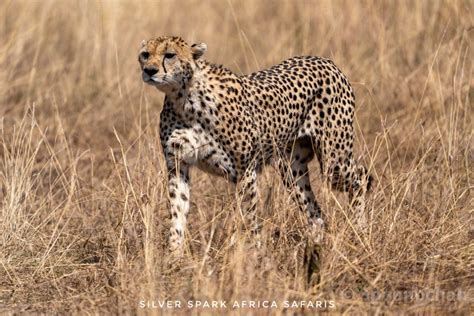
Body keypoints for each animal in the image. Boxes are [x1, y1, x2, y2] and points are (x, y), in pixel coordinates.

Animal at [139, 35, 372, 256]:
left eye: (169, 55)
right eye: (145, 54)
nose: (149, 70)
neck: (184, 100)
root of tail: (324, 60)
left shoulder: (245, 171)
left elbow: (248, 216)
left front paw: (253, 253)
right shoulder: (178, 165)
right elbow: (178, 212)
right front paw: (175, 256)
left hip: (334, 162)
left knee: (361, 176)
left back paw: (360, 230)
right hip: (291, 168)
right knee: (315, 211)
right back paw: (315, 245)